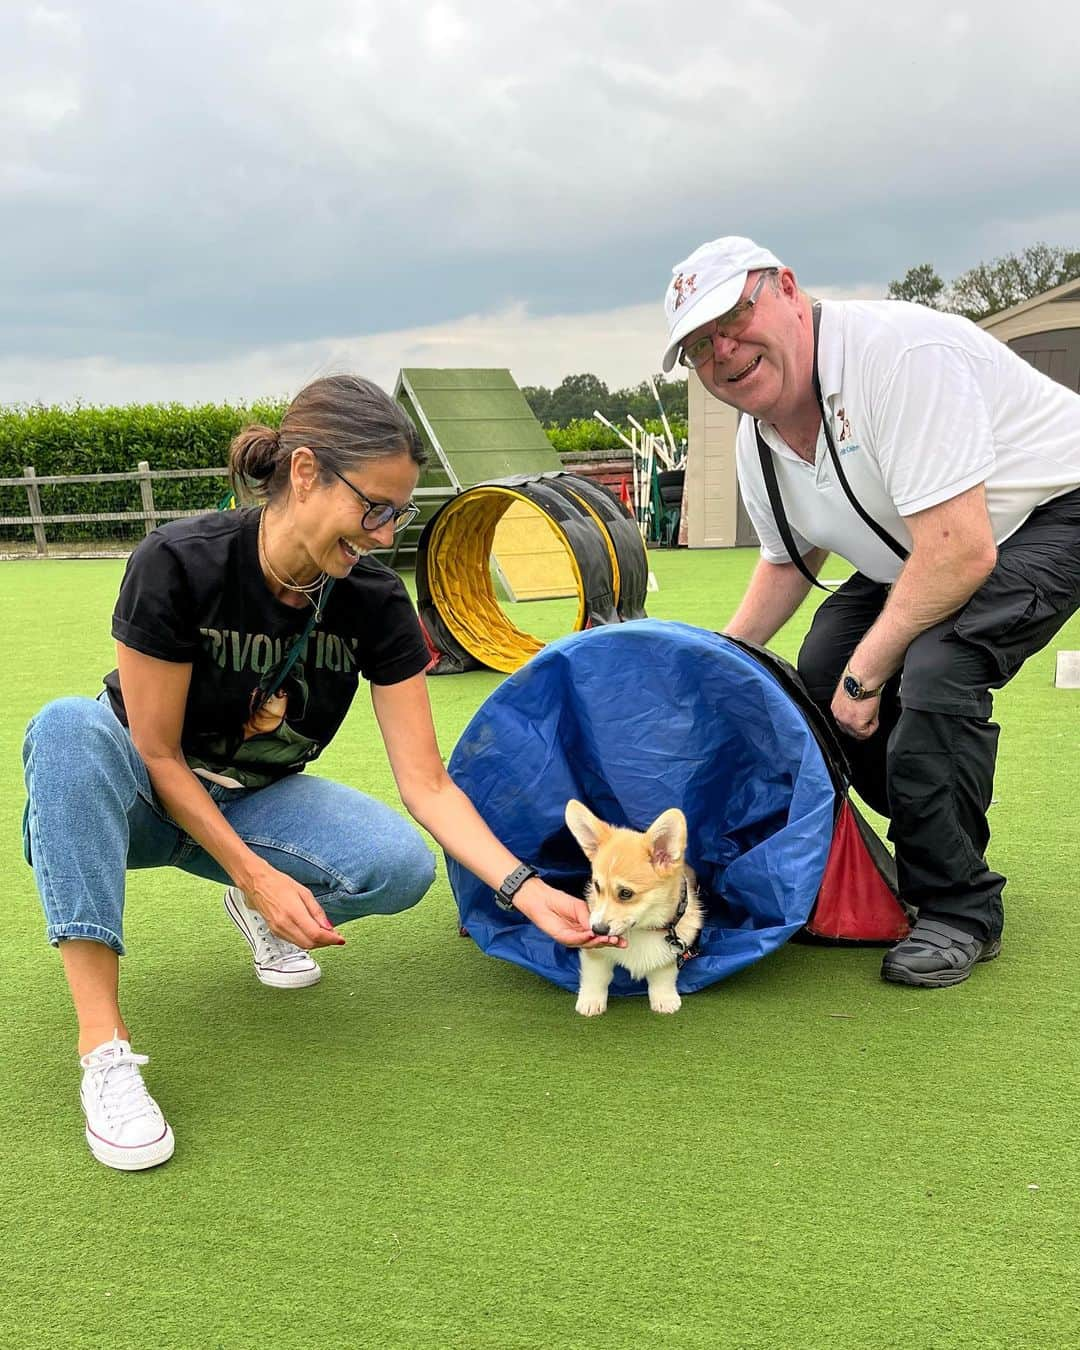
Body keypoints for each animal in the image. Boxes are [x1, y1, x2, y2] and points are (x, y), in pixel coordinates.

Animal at [561, 799, 702, 1015]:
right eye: (597, 886)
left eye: (626, 893)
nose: (597, 930)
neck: (641, 930)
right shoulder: (595, 953)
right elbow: (596, 976)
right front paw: (591, 1002)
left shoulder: (673, 950)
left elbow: (663, 977)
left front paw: (665, 1000)